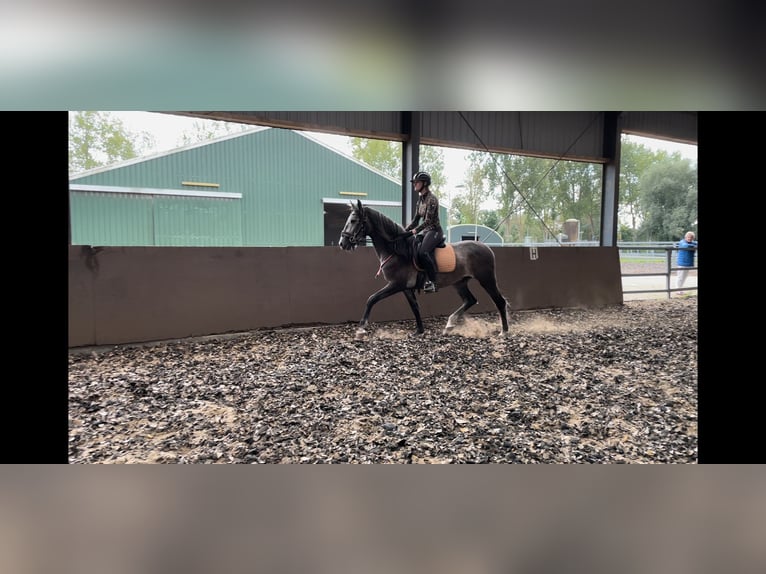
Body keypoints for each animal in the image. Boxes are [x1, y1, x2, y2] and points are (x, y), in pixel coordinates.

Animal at [340, 201, 510, 340]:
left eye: (353, 221)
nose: (343, 243)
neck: (397, 250)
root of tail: (486, 248)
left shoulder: (396, 285)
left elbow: (372, 299)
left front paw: (361, 329)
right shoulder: (406, 288)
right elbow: (415, 307)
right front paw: (419, 331)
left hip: (486, 279)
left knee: (499, 301)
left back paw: (504, 332)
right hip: (460, 282)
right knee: (470, 300)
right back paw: (449, 325)